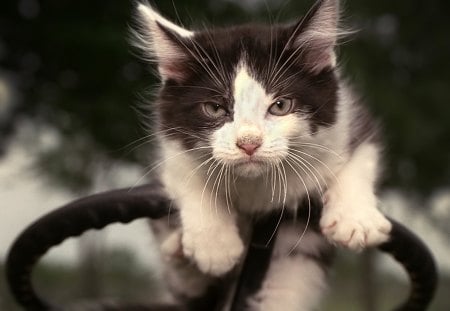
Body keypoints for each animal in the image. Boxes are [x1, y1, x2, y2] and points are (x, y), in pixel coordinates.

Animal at [133, 0, 390, 310]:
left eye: (280, 105)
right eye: (215, 109)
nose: (249, 142)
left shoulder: (347, 118)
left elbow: (362, 154)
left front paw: (356, 219)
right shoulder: (170, 142)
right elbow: (184, 171)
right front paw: (214, 243)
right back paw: (182, 257)